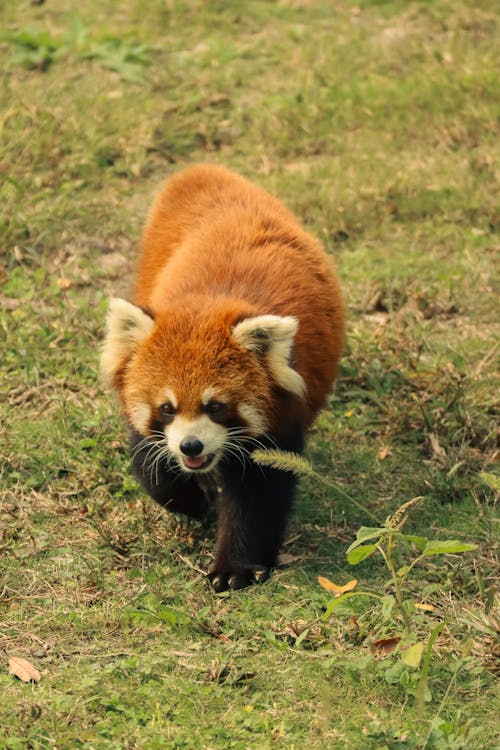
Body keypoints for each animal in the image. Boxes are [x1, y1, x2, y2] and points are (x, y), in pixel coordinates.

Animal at [101, 164, 344, 592]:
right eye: (167, 408)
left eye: (215, 406)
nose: (190, 446)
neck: (210, 303)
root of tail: (205, 172)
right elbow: (151, 464)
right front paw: (193, 500)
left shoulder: (279, 420)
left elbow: (257, 494)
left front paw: (235, 567)